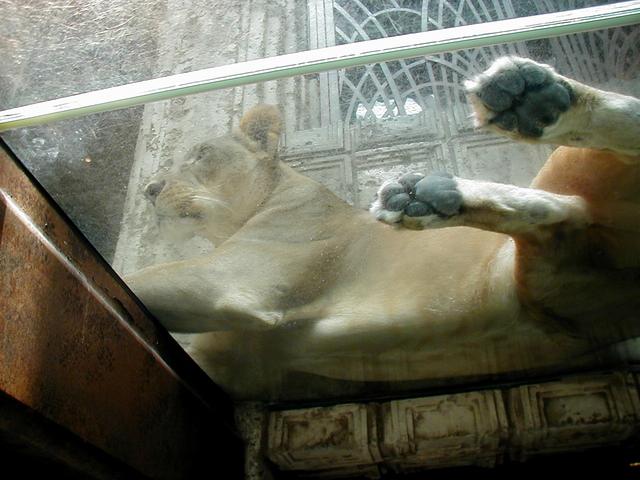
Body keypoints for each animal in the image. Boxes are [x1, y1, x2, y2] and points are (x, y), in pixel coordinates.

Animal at [125, 57, 640, 400]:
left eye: (200, 154)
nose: (149, 189)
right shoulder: (234, 360)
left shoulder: (233, 283)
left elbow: (140, 280)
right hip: (549, 279)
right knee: (564, 217)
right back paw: (425, 195)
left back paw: (525, 96)